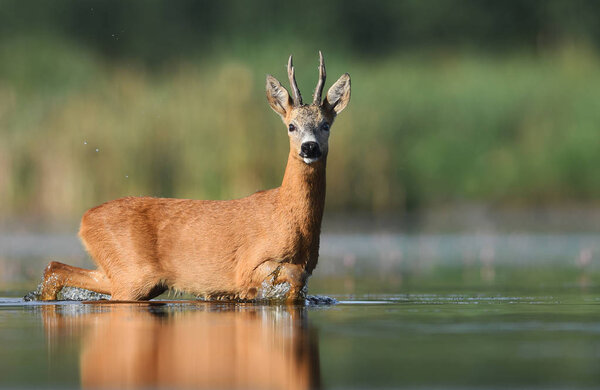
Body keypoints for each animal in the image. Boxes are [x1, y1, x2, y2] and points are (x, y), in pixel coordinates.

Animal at [41, 51, 352, 302]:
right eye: (291, 126)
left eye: (326, 124)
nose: (309, 147)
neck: (288, 218)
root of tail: (85, 220)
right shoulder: (248, 266)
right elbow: (291, 277)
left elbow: (298, 284)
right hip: (132, 275)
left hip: (125, 275)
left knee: (54, 268)